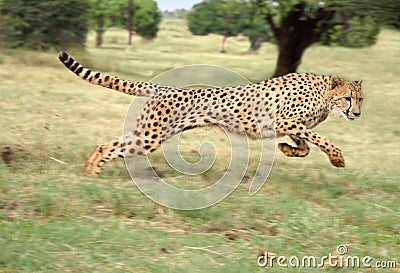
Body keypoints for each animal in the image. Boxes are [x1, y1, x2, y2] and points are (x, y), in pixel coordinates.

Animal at [58, 51, 362, 174]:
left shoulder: (291, 125)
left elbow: (306, 145)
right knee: (109, 146)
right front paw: (337, 158)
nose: (357, 114)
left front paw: (288, 150)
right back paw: (92, 172)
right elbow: (321, 141)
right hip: (151, 136)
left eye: (361, 100)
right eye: (348, 99)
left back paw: (88, 170)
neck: (324, 94)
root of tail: (165, 87)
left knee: (106, 144)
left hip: (149, 132)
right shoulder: (285, 121)